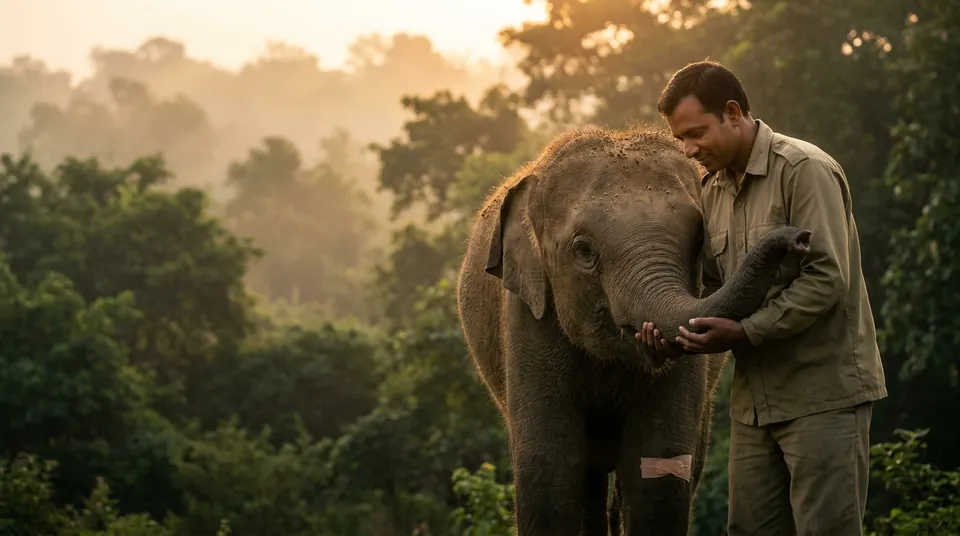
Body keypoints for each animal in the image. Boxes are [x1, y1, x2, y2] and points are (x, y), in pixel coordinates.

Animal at [454, 125, 811, 535]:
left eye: (699, 241)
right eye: (584, 251)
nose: (800, 238)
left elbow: (658, 467)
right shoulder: (528, 315)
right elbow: (548, 467)